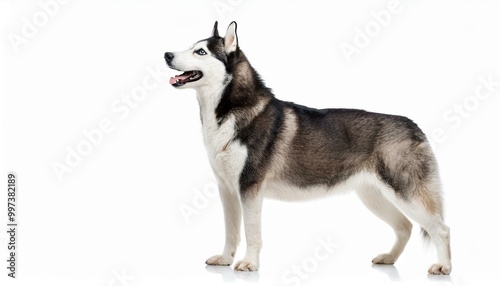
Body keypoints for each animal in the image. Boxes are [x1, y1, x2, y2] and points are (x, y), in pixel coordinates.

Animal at [165, 20, 454, 274]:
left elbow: (251, 231)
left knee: (441, 228)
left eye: (200, 52)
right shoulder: (227, 189)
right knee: (405, 226)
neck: (228, 112)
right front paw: (226, 259)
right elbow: (231, 232)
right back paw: (389, 258)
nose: (167, 54)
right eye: (190, 46)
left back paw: (444, 267)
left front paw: (249, 263)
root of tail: (414, 125)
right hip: (374, 196)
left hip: (406, 193)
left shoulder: (250, 188)